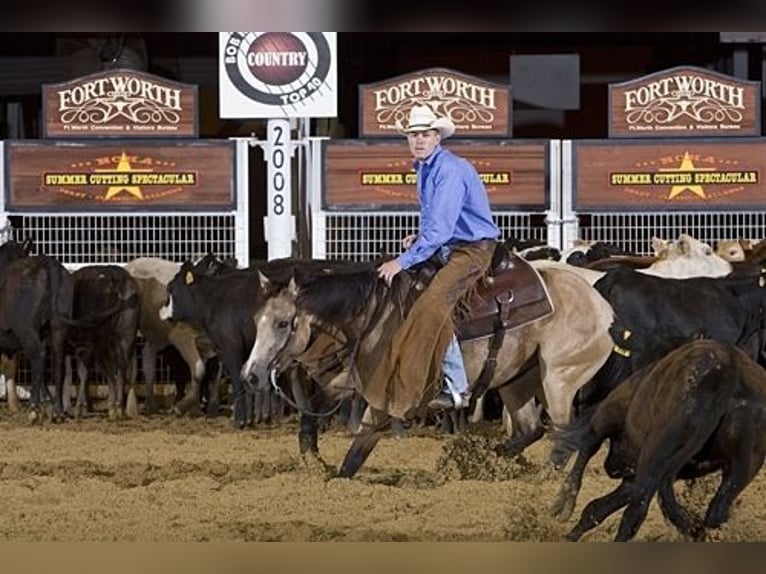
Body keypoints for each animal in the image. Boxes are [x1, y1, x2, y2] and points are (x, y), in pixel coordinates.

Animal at [243, 250, 616, 480]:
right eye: (257, 320)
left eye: (282, 323)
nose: (251, 376)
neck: (377, 316)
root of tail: (602, 306)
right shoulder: (350, 380)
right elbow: (310, 421)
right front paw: (313, 464)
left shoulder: (385, 399)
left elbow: (356, 454)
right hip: (517, 380)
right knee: (530, 429)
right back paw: (483, 461)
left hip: (558, 379)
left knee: (564, 435)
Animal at [556, 342, 766, 544]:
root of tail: (728, 374)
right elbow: (597, 508)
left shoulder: (612, 419)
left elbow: (588, 447)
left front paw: (562, 506)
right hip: (741, 469)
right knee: (716, 512)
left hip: (654, 450)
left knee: (636, 509)